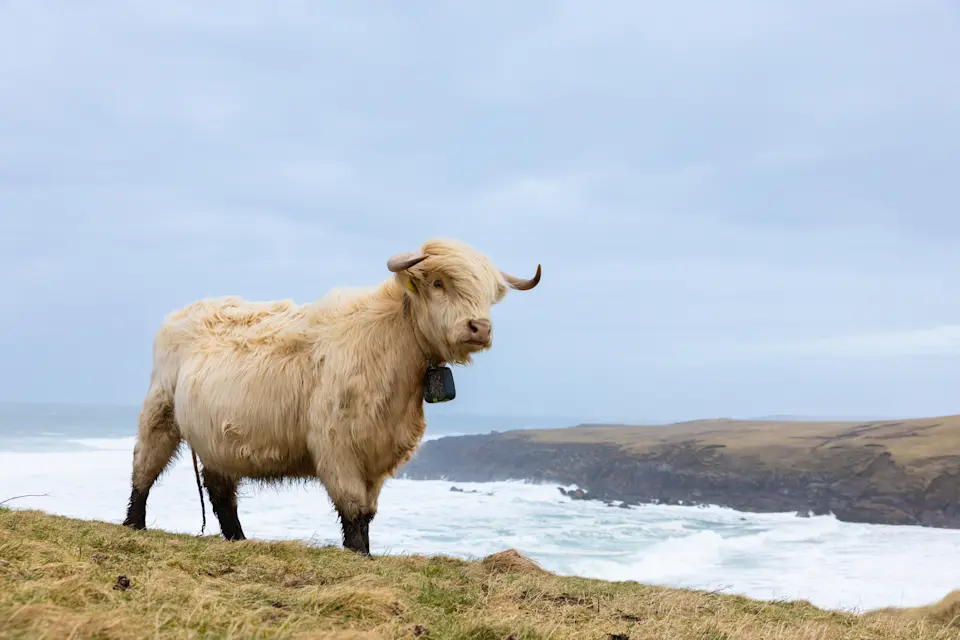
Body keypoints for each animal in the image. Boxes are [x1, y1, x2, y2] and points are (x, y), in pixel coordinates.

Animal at [121, 238, 541, 554]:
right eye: (438, 283)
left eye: (488, 294)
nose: (480, 327)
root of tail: (182, 313)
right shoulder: (336, 447)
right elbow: (353, 511)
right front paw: (358, 555)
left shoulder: (377, 455)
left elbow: (368, 512)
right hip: (160, 409)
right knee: (145, 465)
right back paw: (134, 523)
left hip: (216, 438)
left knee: (220, 488)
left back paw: (239, 539)